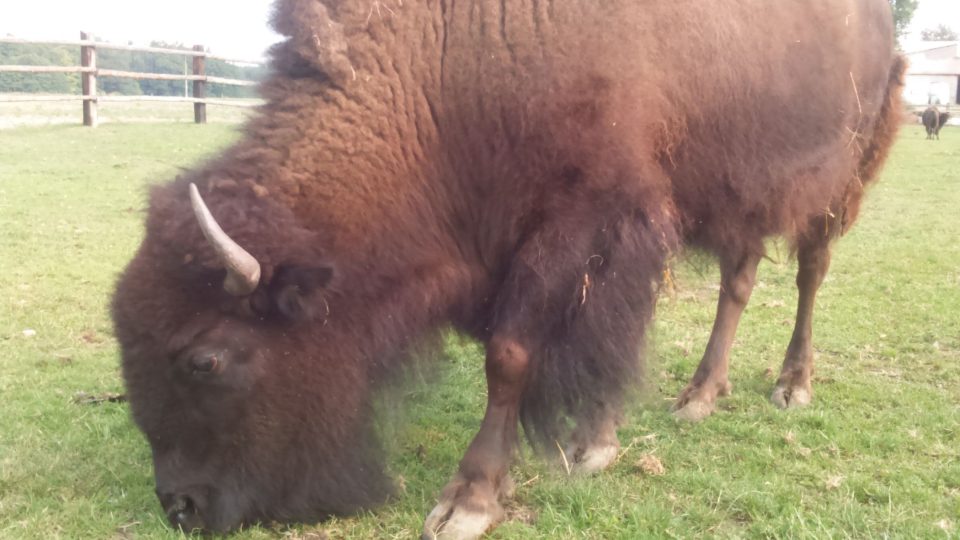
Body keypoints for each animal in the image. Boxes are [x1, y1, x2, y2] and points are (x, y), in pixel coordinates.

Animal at [112, 0, 908, 536]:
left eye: (205, 359)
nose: (180, 506)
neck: (444, 66)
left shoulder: (578, 225)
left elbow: (513, 356)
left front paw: (468, 501)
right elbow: (601, 345)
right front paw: (594, 443)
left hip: (840, 181)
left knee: (810, 272)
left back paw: (792, 386)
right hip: (743, 194)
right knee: (738, 282)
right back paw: (698, 396)